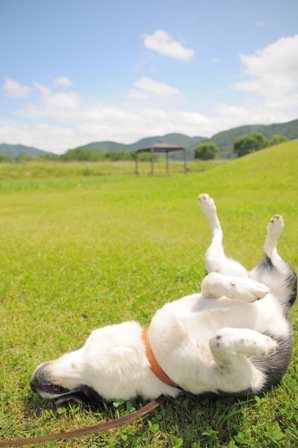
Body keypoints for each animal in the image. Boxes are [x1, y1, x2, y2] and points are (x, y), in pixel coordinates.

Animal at [29, 194, 296, 404]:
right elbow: (217, 339)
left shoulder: (200, 299)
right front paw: (262, 343)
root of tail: (282, 310)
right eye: (83, 397)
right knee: (232, 245)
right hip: (230, 265)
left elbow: (209, 283)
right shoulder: (241, 379)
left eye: (78, 345)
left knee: (241, 252)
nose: (32, 384)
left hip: (252, 271)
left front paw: (247, 291)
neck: (150, 353)